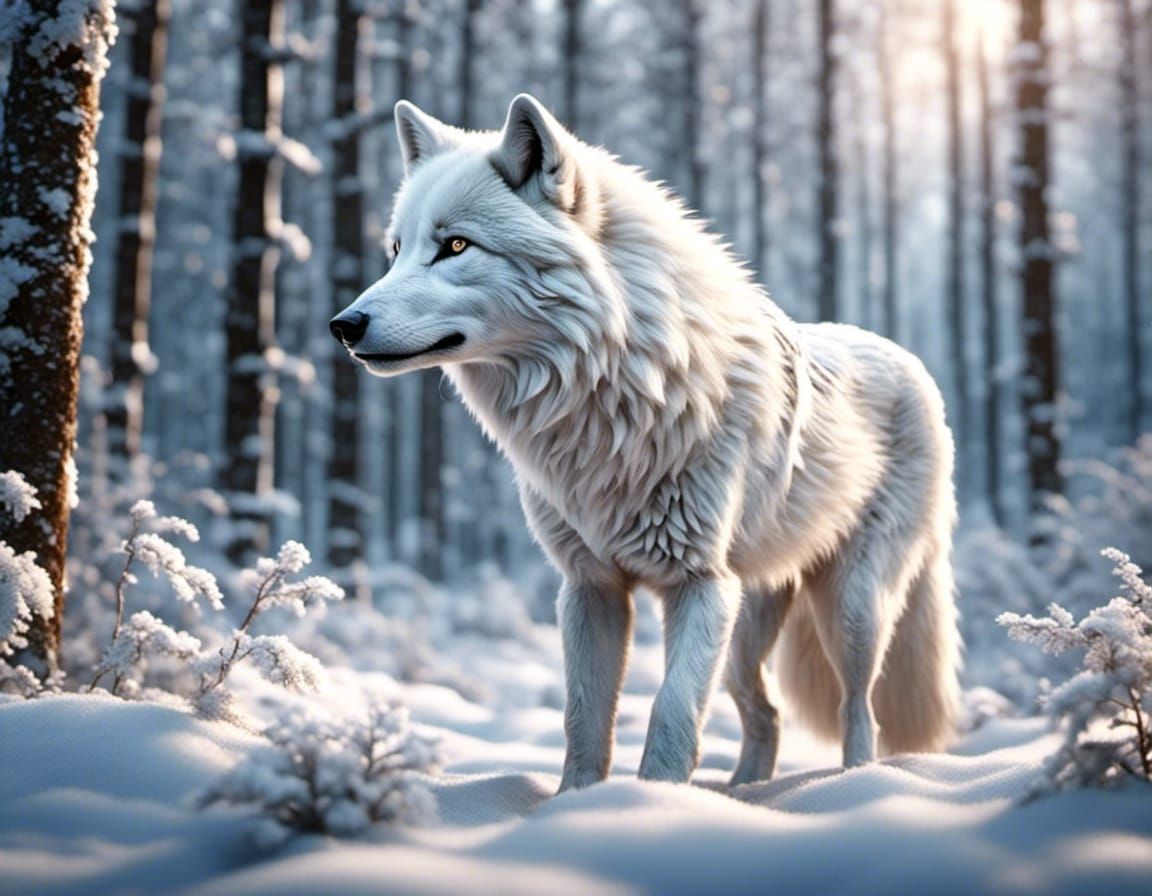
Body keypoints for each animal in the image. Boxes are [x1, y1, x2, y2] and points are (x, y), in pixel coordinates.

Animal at [330, 94, 961, 789]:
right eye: (395, 250)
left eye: (455, 245)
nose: (343, 325)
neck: (616, 392)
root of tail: (910, 361)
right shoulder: (589, 587)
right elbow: (583, 720)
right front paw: (577, 801)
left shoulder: (700, 585)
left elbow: (671, 714)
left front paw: (655, 802)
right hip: (746, 625)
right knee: (765, 712)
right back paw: (745, 793)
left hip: (849, 608)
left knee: (859, 709)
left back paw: (854, 784)